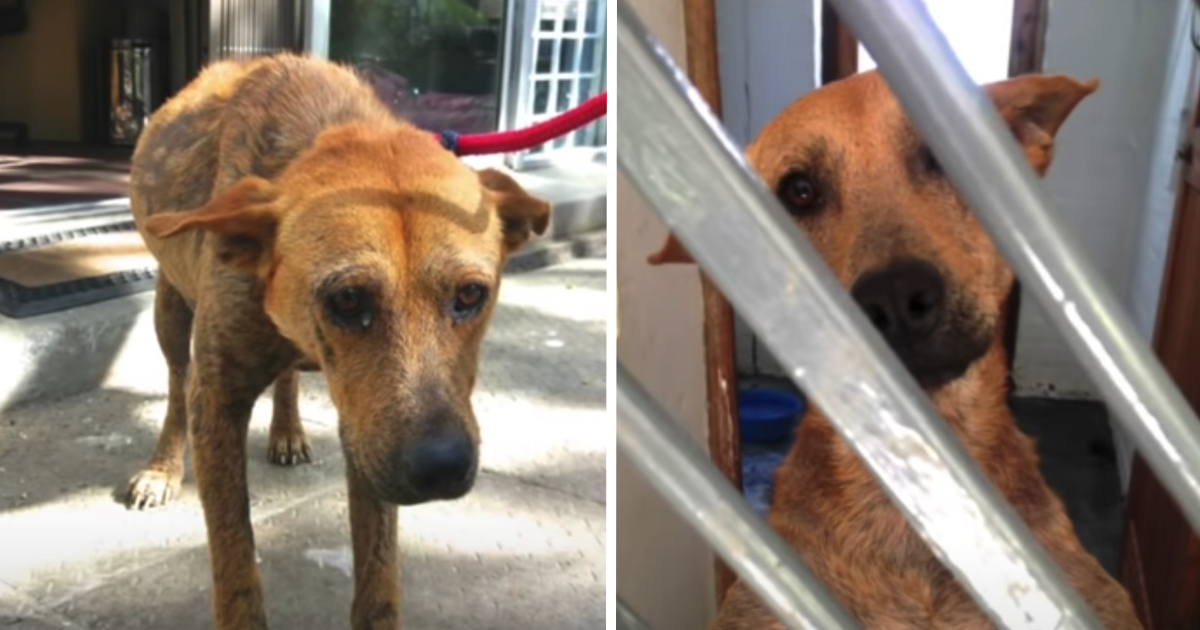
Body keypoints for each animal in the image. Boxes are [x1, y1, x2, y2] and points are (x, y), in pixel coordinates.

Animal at [121, 55, 552, 628]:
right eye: (347, 300)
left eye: (470, 294)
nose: (441, 467)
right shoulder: (218, 400)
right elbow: (235, 563)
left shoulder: (367, 425)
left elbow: (379, 575)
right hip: (171, 312)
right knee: (175, 386)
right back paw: (162, 469)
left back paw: (287, 429)